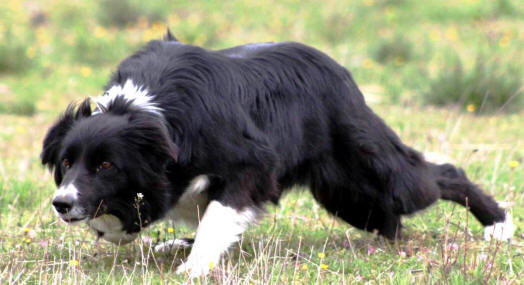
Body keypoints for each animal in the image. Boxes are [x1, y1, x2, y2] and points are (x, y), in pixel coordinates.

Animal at [42, 31, 516, 276]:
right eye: (67, 162)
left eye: (106, 165)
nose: (61, 203)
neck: (147, 111)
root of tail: (338, 69)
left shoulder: (247, 159)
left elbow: (222, 210)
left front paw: (193, 268)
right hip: (348, 198)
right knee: (388, 220)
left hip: (360, 165)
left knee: (425, 178)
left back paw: (498, 226)